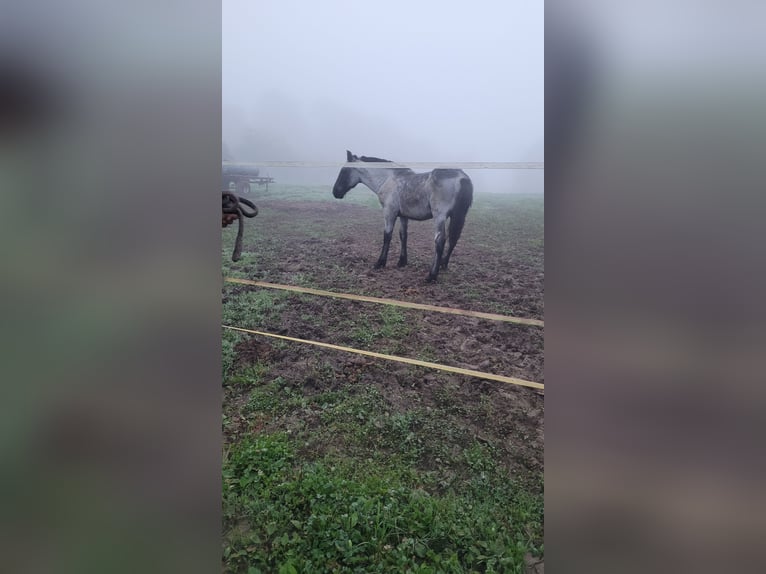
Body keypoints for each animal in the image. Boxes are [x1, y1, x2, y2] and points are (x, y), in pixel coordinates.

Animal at [334, 150, 474, 282]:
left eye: (344, 171)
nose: (335, 192)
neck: (388, 179)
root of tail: (462, 177)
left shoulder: (389, 212)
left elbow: (387, 236)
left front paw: (380, 262)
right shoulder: (403, 216)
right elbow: (403, 236)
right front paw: (402, 261)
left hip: (440, 217)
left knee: (440, 241)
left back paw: (432, 275)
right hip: (458, 216)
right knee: (453, 239)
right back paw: (443, 265)